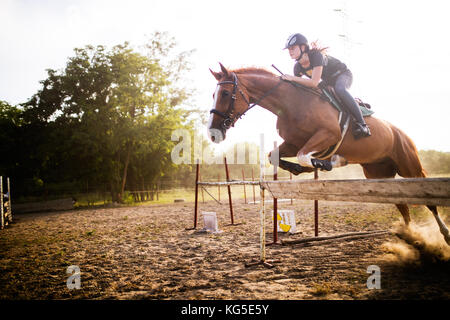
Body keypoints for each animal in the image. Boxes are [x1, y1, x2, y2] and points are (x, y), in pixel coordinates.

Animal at [207, 62, 450, 245]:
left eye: (226, 93)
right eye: (214, 93)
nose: (213, 133)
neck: (291, 102)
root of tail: (399, 131)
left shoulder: (328, 134)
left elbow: (307, 156)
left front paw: (328, 162)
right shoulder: (293, 142)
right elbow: (275, 156)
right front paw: (302, 168)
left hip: (409, 166)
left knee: (428, 201)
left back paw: (444, 235)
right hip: (378, 173)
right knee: (402, 205)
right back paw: (410, 237)